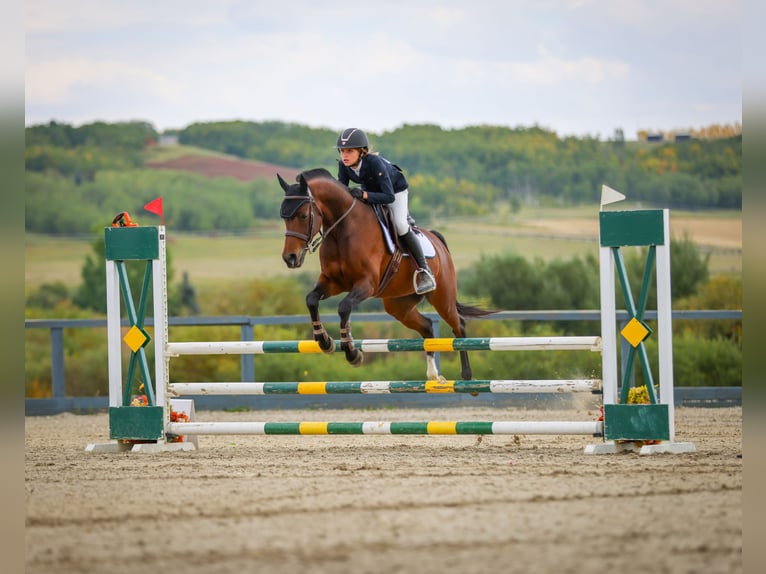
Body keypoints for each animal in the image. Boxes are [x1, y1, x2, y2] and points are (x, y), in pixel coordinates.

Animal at [280, 166, 496, 382]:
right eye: (283, 217)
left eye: (303, 216)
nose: (290, 258)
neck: (343, 231)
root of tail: (438, 241)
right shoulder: (332, 282)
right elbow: (311, 300)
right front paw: (325, 342)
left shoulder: (366, 284)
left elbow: (344, 307)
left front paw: (352, 354)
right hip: (399, 305)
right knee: (426, 326)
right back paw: (433, 375)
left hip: (442, 298)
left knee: (459, 325)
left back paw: (466, 376)